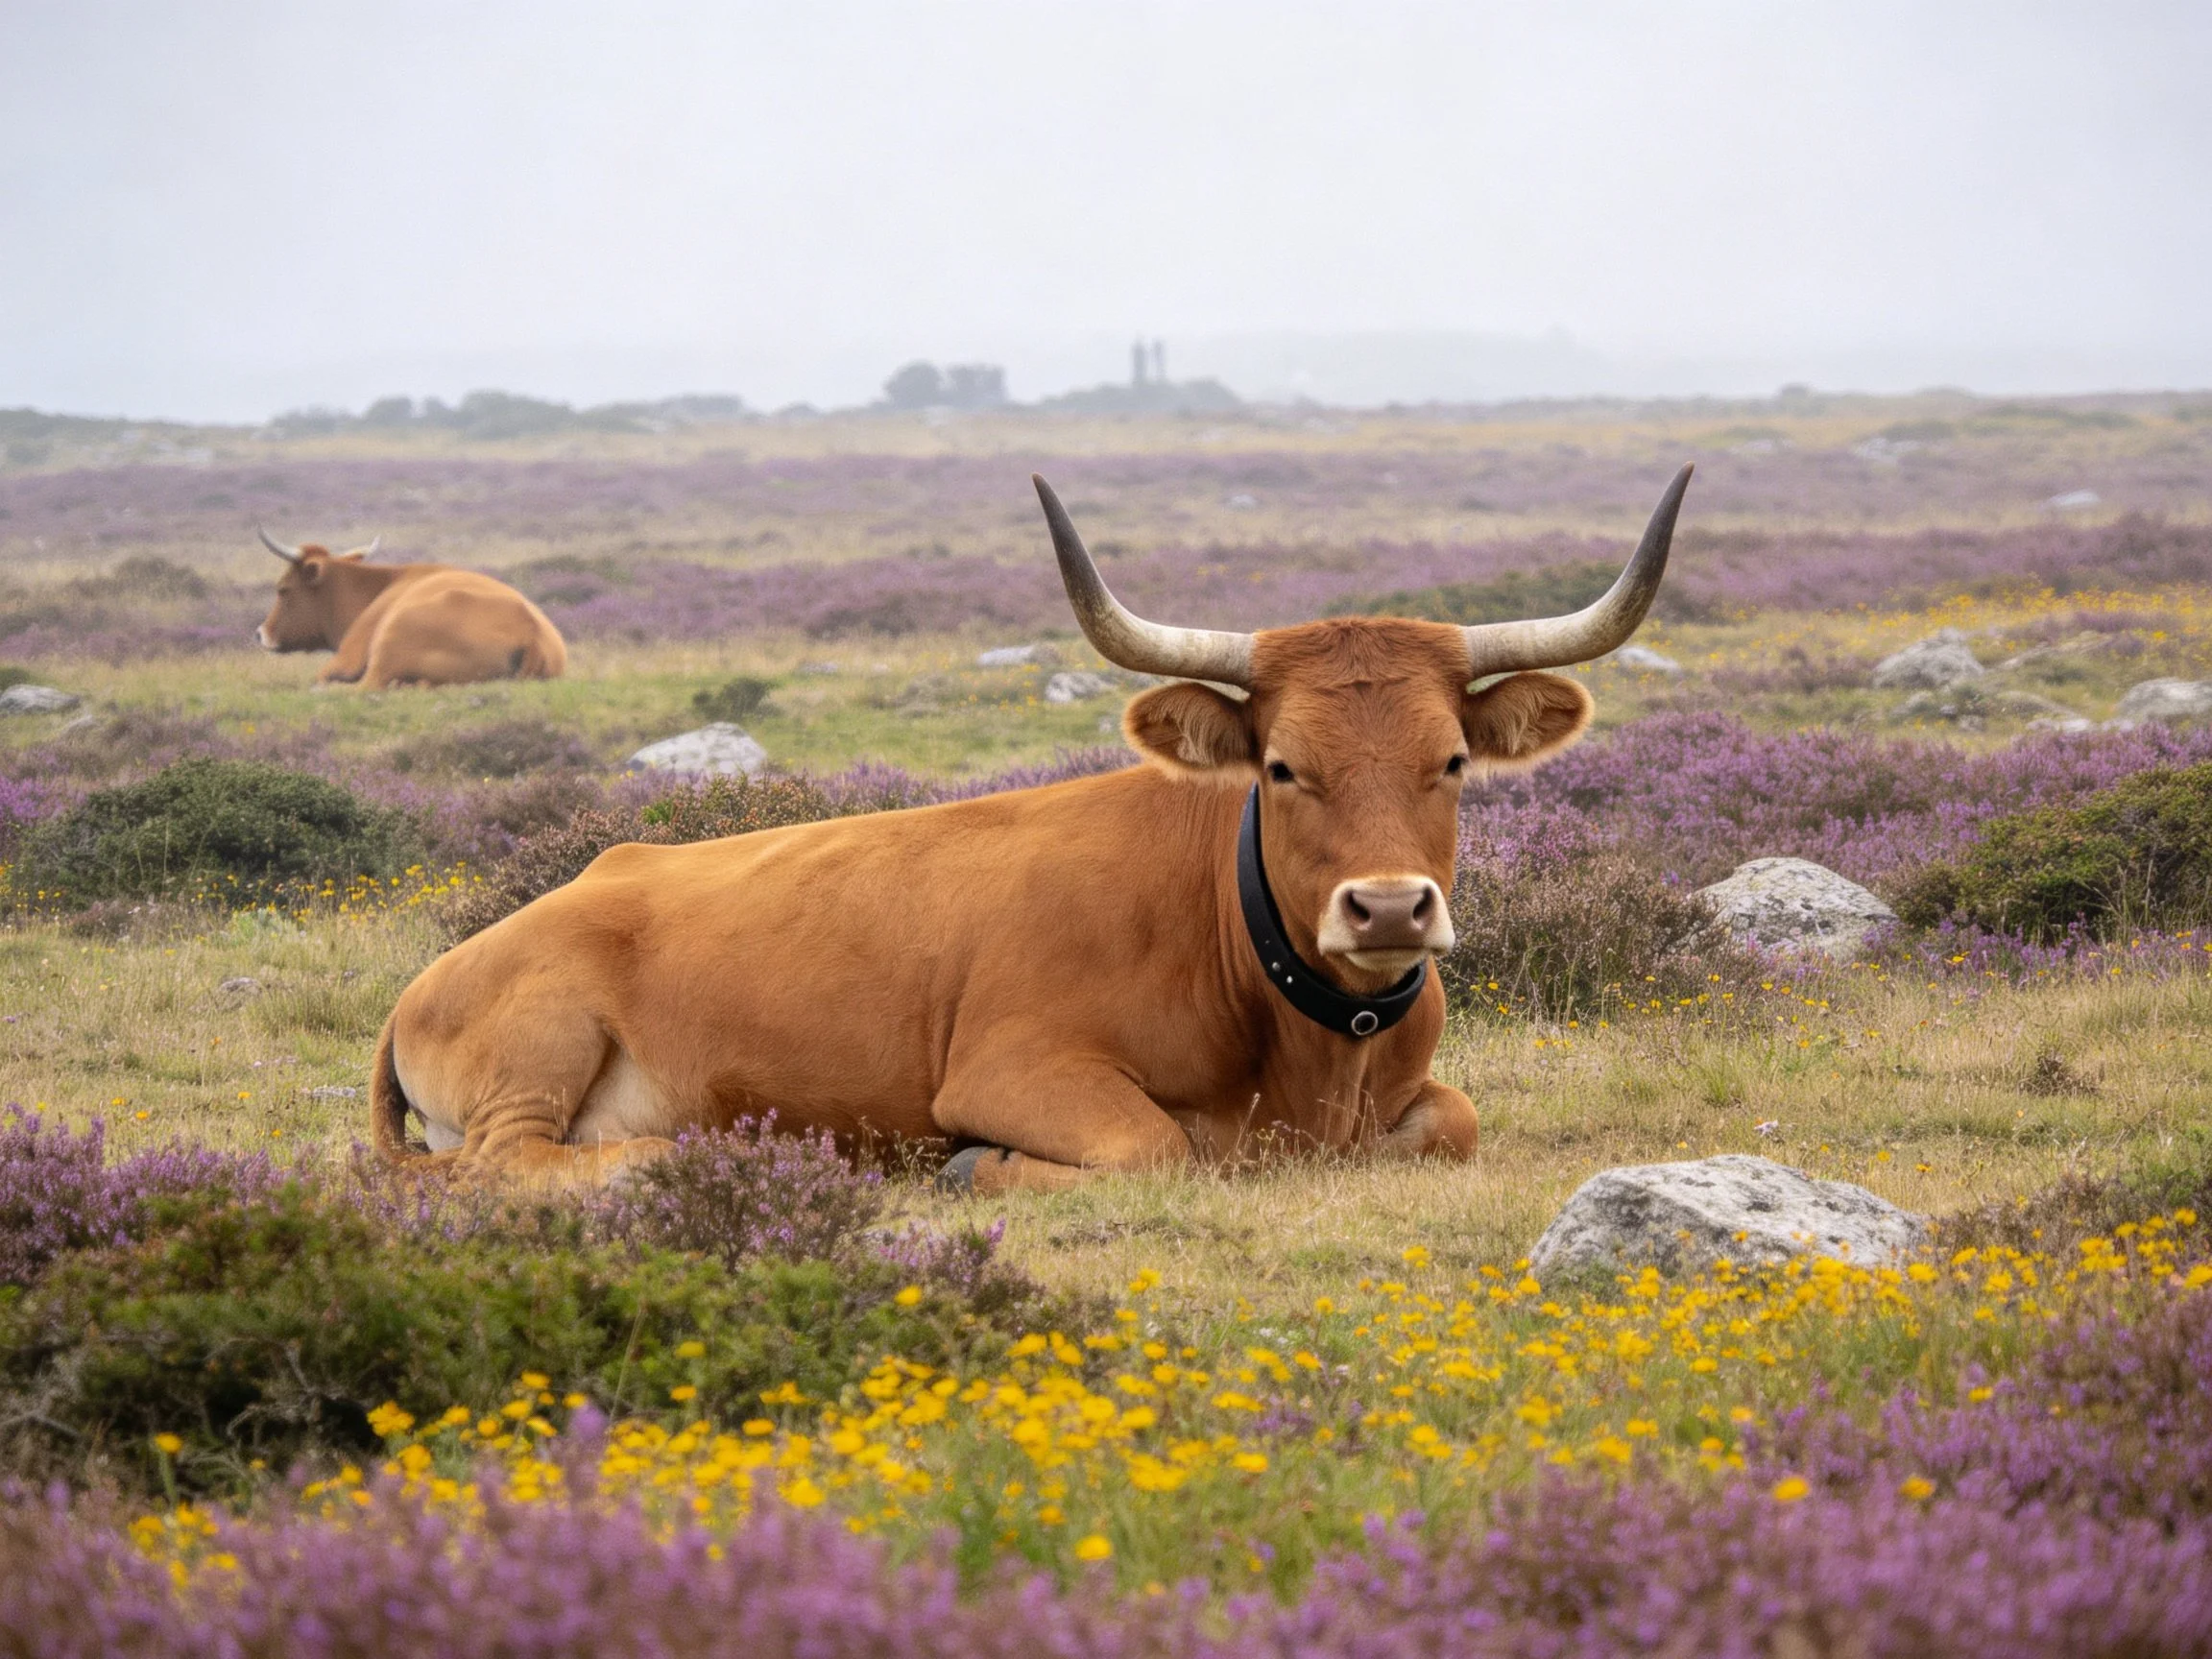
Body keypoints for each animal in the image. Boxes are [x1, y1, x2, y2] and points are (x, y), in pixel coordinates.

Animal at [369, 466, 1691, 1194]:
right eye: (1282, 766)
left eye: (1453, 761)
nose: (1387, 908)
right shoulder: (1020, 1069)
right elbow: (1155, 1148)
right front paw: (972, 1166)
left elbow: (1456, 1125)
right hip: (542, 1041)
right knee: (502, 1164)